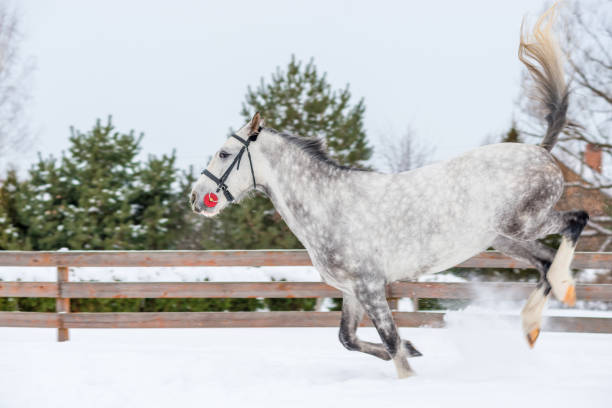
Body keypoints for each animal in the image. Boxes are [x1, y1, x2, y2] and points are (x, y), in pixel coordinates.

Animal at [191, 7, 588, 378]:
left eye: (224, 153)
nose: (196, 197)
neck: (330, 206)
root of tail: (541, 150)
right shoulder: (352, 291)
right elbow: (349, 339)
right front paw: (415, 348)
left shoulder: (369, 286)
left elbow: (391, 342)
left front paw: (408, 369)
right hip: (506, 238)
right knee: (545, 263)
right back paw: (532, 325)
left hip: (526, 222)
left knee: (575, 223)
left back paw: (560, 294)